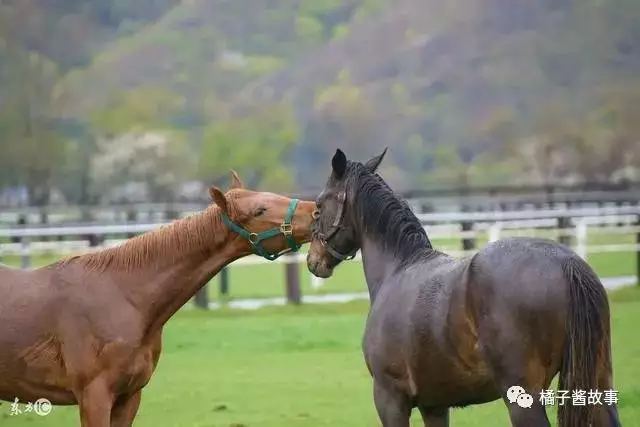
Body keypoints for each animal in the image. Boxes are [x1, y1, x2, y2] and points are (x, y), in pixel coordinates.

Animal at [308, 149, 624, 426]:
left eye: (319, 206)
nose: (313, 260)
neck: (398, 268)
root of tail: (566, 263)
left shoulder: (391, 399)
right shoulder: (434, 405)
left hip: (523, 398)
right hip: (598, 386)